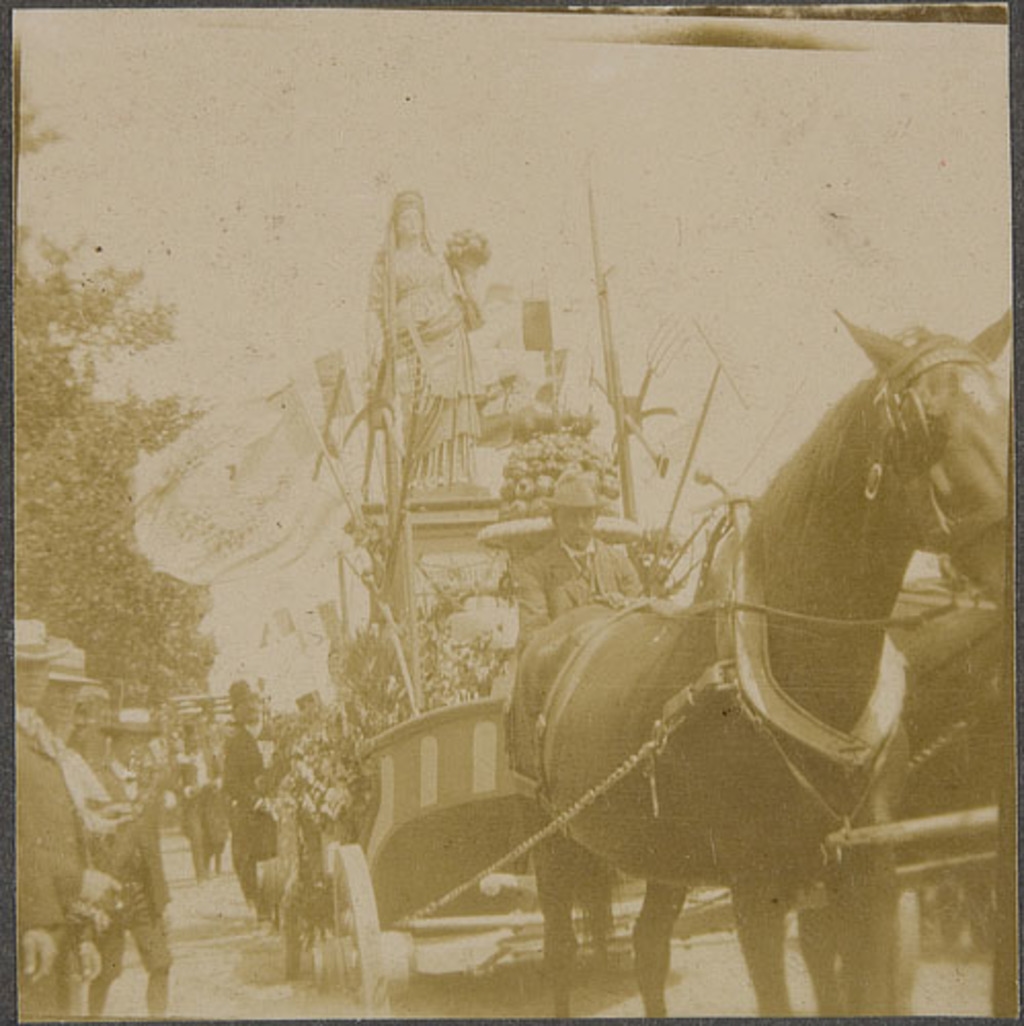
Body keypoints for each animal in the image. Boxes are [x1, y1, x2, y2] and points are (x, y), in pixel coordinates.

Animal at [517, 307, 1013, 1013]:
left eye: (1006, 408)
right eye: (927, 422)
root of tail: (554, 638)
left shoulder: (872, 877)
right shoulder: (756, 893)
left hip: (664, 855)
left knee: (647, 947)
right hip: (552, 846)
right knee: (560, 953)